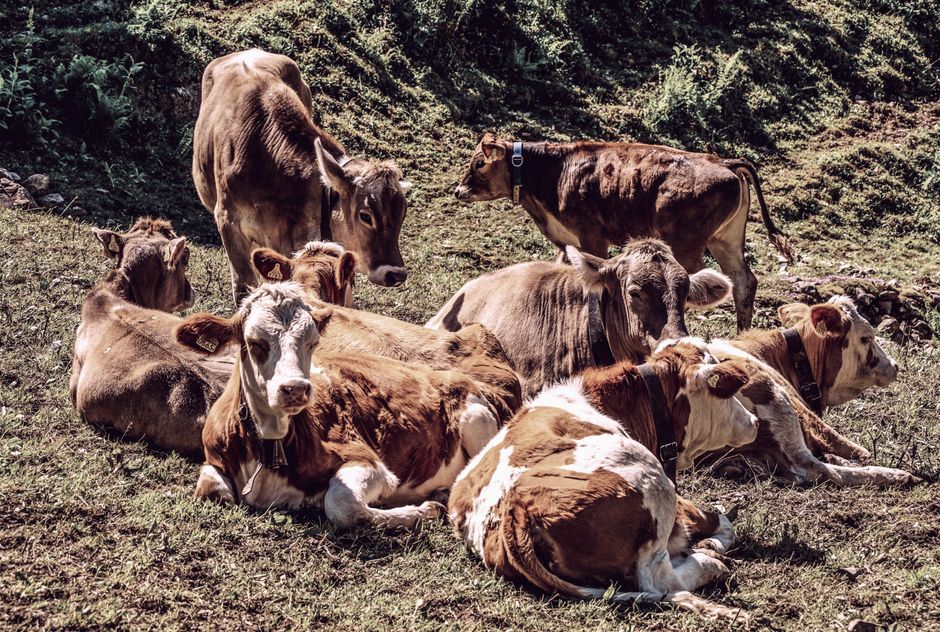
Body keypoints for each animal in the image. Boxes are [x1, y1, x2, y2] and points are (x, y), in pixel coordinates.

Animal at [176, 282, 514, 529]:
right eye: (254, 342)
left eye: (312, 343)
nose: (295, 389)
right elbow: (211, 489)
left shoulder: (367, 461)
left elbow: (341, 503)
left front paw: (421, 510)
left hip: (477, 419)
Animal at [449, 339, 758, 620]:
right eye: (728, 394)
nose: (754, 421)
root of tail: (516, 509)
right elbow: (724, 524)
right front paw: (709, 545)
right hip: (651, 479)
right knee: (661, 581)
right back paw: (710, 564)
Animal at [453, 133, 794, 330]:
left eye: (479, 163)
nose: (458, 191)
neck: (554, 173)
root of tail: (723, 161)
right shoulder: (566, 242)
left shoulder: (592, 235)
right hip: (726, 239)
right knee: (743, 281)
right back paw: (742, 334)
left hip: (687, 241)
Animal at [701, 296, 919, 486]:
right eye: (866, 338)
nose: (895, 366)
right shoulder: (809, 418)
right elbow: (861, 452)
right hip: (775, 401)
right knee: (813, 467)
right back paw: (895, 475)